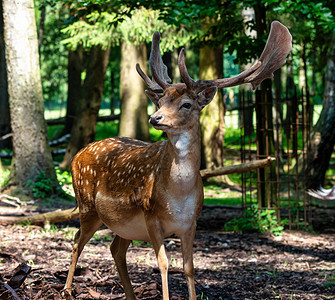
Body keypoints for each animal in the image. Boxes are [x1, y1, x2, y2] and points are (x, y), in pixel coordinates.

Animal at [63, 19, 292, 298]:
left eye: (186, 104)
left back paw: (129, 295)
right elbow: (163, 264)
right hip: (87, 205)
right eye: (160, 100)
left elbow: (189, 267)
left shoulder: (191, 223)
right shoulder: (151, 216)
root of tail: (77, 155)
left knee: (115, 249)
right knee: (77, 240)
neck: (178, 197)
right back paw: (66, 289)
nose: (155, 118)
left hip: (123, 224)